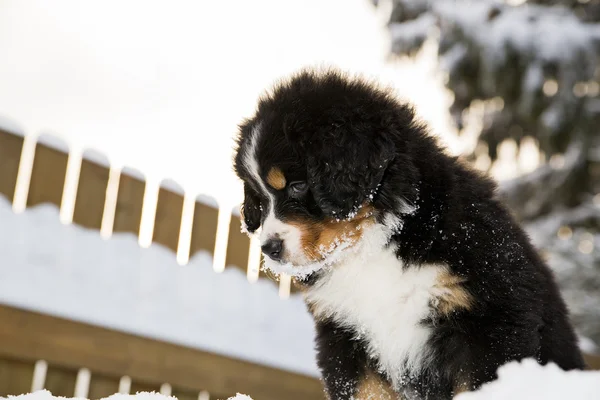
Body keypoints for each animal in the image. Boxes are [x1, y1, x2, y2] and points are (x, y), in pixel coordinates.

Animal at [232, 69, 584, 400]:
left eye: (298, 185)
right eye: (259, 199)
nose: (270, 249)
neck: (375, 244)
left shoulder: (488, 326)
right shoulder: (346, 337)